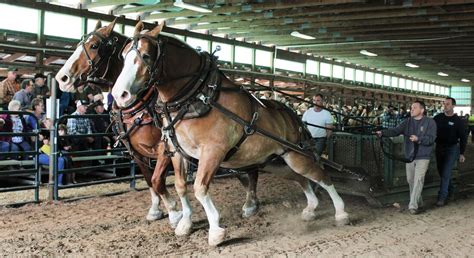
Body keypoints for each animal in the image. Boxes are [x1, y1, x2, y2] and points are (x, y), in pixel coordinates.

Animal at [113, 22, 350, 246]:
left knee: (321, 175)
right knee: (300, 177)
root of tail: (293, 116)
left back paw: (341, 212)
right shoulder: (176, 152)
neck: (198, 98)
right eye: (123, 56)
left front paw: (215, 232)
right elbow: (181, 187)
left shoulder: (212, 152)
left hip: (295, 155)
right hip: (274, 161)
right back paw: (311, 208)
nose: (119, 95)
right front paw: (185, 223)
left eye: (146, 55)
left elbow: (200, 188)